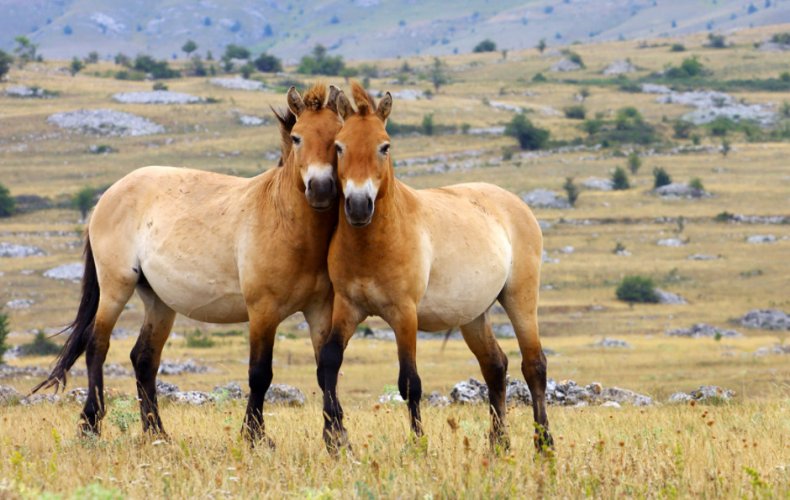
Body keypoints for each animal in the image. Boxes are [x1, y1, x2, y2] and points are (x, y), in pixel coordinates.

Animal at [34, 84, 344, 448]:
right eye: (297, 138)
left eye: (338, 138)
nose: (320, 188)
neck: (283, 221)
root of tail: (108, 195)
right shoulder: (263, 311)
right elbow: (260, 374)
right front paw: (254, 437)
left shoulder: (320, 310)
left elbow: (326, 370)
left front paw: (337, 438)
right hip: (116, 287)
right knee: (97, 346)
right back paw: (90, 425)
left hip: (158, 301)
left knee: (143, 359)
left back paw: (156, 431)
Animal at [318, 83, 552, 454]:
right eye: (339, 146)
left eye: (384, 146)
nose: (358, 206)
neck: (375, 244)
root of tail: (516, 203)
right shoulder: (348, 307)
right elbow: (329, 361)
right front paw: (334, 441)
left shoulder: (404, 315)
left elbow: (409, 382)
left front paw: (418, 445)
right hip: (473, 315)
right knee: (495, 366)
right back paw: (498, 445)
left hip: (520, 299)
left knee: (534, 366)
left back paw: (544, 445)